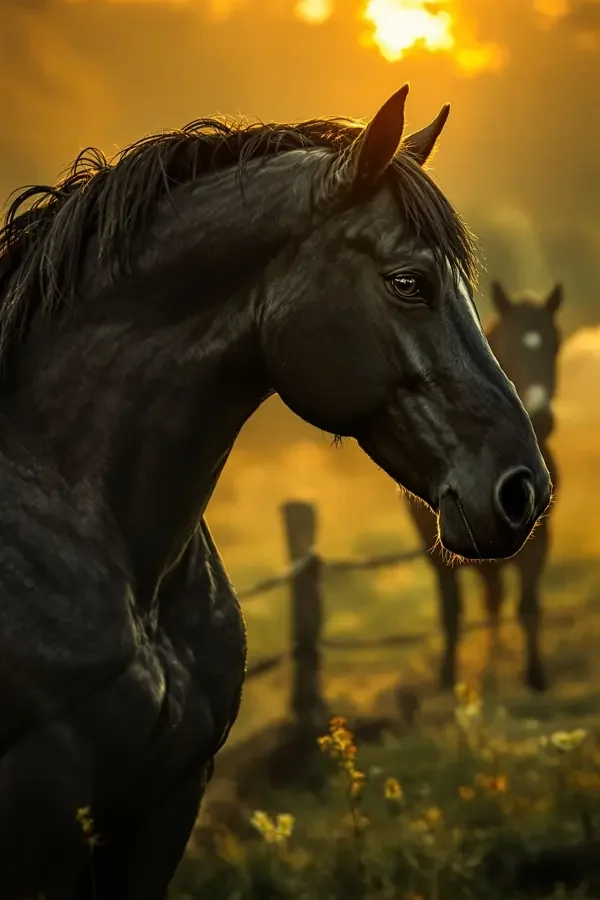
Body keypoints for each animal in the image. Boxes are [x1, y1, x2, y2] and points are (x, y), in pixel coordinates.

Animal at [405, 280, 562, 694]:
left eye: (554, 345)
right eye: (507, 346)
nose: (541, 416)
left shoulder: (538, 540)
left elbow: (527, 605)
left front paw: (536, 676)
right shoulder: (441, 552)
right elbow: (452, 610)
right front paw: (447, 678)